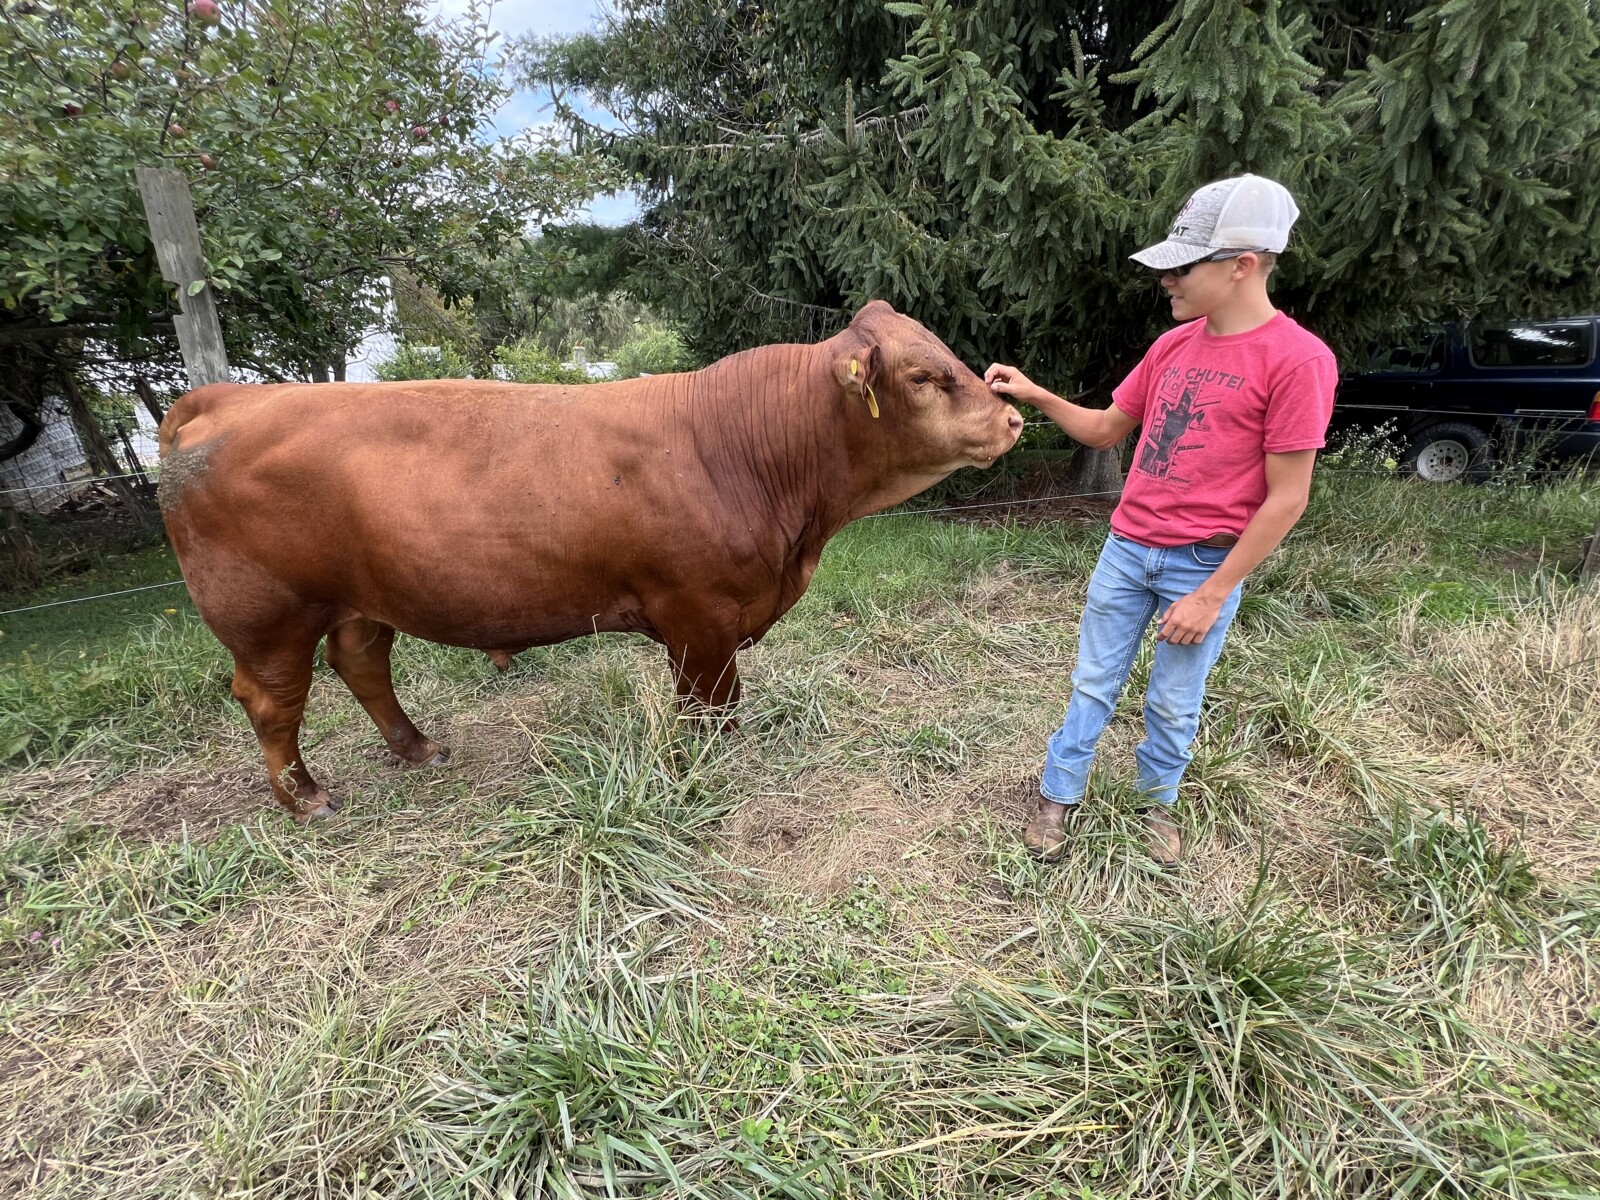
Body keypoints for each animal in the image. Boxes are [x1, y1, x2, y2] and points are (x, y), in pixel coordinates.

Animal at [158, 300, 1024, 820]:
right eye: (924, 375)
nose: (1013, 415)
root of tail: (231, 397)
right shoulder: (699, 616)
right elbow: (712, 706)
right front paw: (713, 764)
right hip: (268, 616)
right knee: (272, 702)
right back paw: (305, 798)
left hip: (363, 599)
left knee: (362, 663)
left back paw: (417, 747)